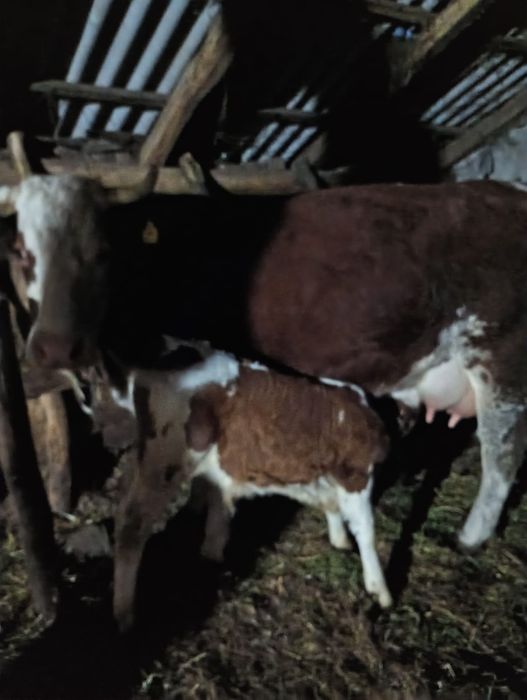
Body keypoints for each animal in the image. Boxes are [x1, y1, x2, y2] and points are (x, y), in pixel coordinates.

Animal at [1, 168, 526, 555]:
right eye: (21, 251)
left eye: (102, 252)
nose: (56, 347)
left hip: (501, 359)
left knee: (501, 457)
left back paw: (470, 537)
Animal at [112, 341, 392, 631]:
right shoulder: (357, 472)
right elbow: (366, 529)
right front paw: (380, 590)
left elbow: (332, 505)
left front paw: (339, 541)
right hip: (165, 463)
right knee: (132, 526)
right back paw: (124, 613)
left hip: (151, 459)